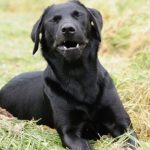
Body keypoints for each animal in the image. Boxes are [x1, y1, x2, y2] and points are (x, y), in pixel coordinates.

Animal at [0, 0, 138, 149]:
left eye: (78, 15)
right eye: (54, 20)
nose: (67, 29)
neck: (78, 74)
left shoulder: (121, 123)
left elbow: (130, 141)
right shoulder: (69, 132)